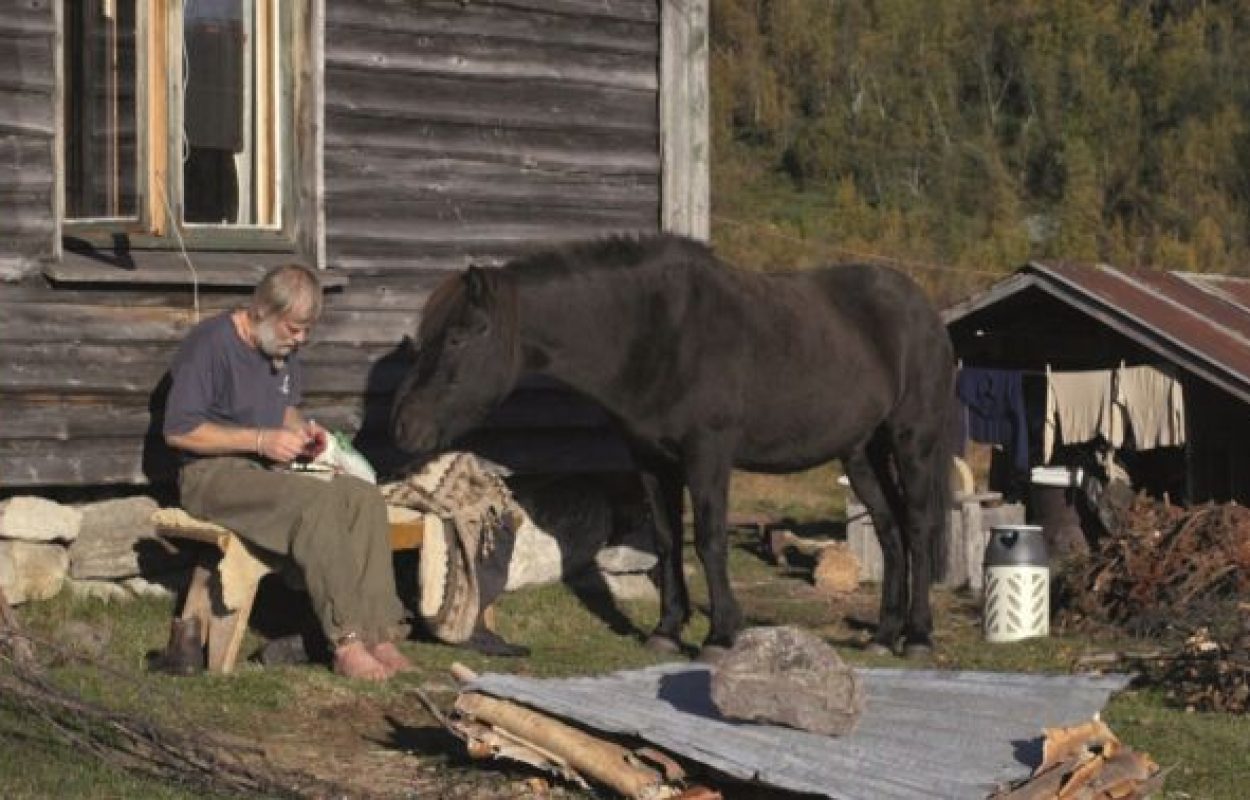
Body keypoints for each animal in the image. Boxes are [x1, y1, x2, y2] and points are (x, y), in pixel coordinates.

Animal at [392, 235, 955, 660]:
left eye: (461, 336)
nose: (404, 427)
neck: (657, 333)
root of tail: (923, 308)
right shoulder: (650, 459)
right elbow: (666, 539)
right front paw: (666, 631)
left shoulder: (707, 455)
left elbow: (707, 539)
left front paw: (720, 635)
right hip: (861, 454)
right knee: (889, 530)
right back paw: (884, 636)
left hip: (913, 441)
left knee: (917, 525)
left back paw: (918, 636)